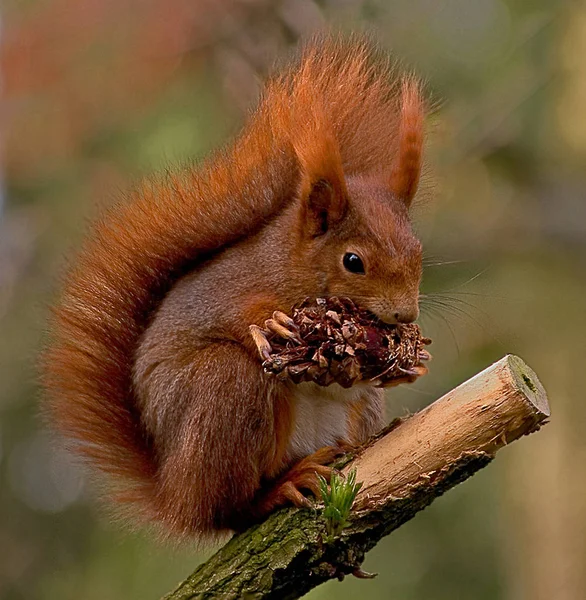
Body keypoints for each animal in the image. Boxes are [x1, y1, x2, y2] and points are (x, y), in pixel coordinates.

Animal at [42, 35, 424, 536]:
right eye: (353, 262)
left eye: (419, 249)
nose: (405, 315)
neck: (289, 267)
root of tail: (174, 493)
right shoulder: (227, 292)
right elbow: (234, 314)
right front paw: (271, 324)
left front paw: (408, 364)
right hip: (226, 390)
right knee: (231, 508)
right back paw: (279, 488)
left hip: (355, 410)